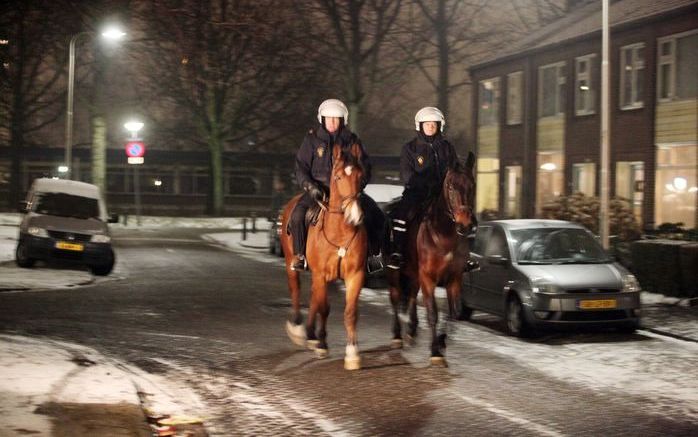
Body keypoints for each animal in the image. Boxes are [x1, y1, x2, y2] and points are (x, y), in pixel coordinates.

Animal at [278, 142, 368, 368]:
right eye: (338, 177)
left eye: (360, 176)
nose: (355, 216)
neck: (340, 231)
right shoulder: (321, 273)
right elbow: (324, 308)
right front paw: (321, 343)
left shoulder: (355, 275)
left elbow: (350, 312)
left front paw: (352, 353)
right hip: (292, 264)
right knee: (296, 290)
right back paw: (299, 328)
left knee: (313, 297)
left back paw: (310, 333)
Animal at [384, 152, 476, 366]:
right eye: (450, 186)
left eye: (472, 185)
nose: (465, 225)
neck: (444, 234)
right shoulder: (428, 277)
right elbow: (433, 313)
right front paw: (435, 352)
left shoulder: (454, 278)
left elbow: (453, 313)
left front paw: (441, 341)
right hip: (394, 271)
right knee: (395, 297)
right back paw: (397, 336)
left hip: (414, 274)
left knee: (410, 295)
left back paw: (411, 330)